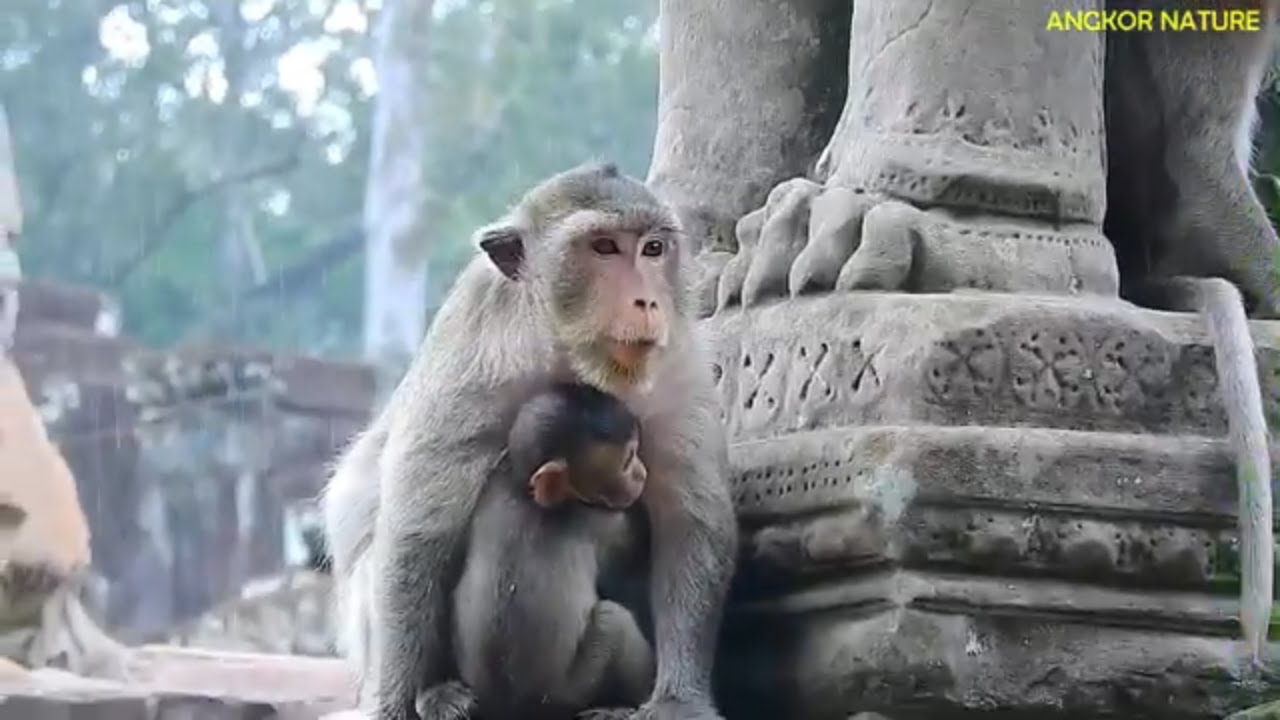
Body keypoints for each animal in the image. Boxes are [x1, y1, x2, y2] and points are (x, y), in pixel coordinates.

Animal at [452, 382, 655, 720]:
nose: (642, 473)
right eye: (628, 460)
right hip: (569, 692)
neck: (526, 493)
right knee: (614, 621)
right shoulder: (604, 521)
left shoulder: (495, 480)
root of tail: (515, 708)